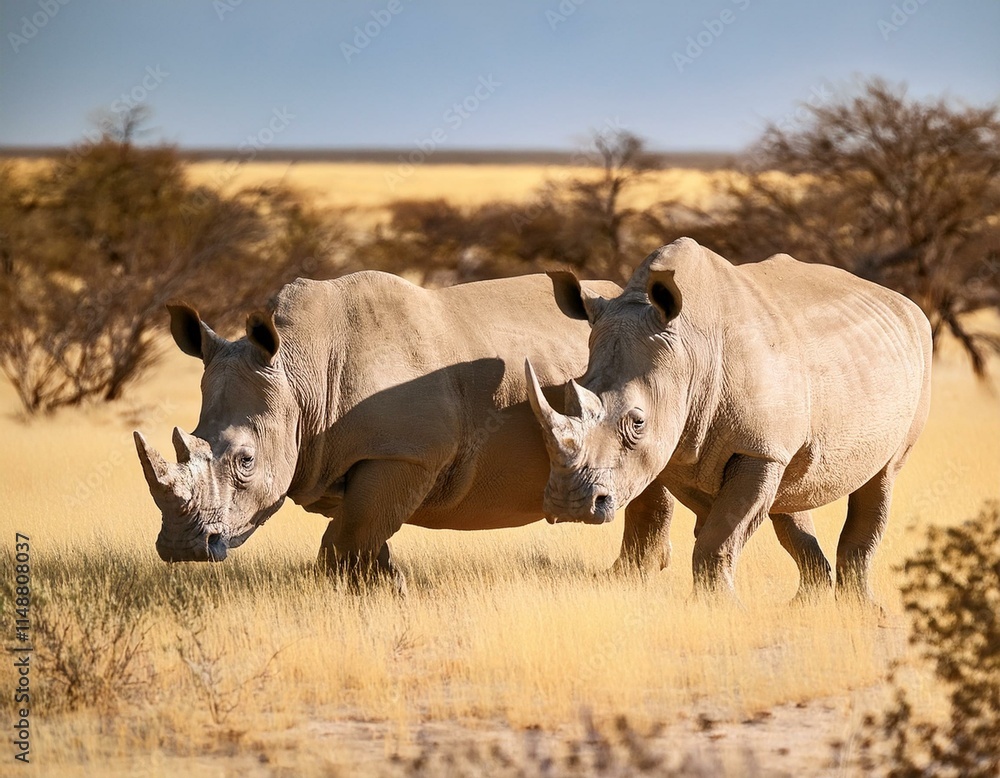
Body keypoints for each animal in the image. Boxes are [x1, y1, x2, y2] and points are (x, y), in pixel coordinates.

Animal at [526, 238, 932, 602]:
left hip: (919, 353)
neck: (689, 351)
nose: (570, 504)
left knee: (883, 476)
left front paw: (716, 606)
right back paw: (805, 605)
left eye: (637, 422)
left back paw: (861, 610)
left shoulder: (758, 449)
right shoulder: (679, 449)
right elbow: (715, 527)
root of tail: (904, 302)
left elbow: (720, 534)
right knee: (790, 491)